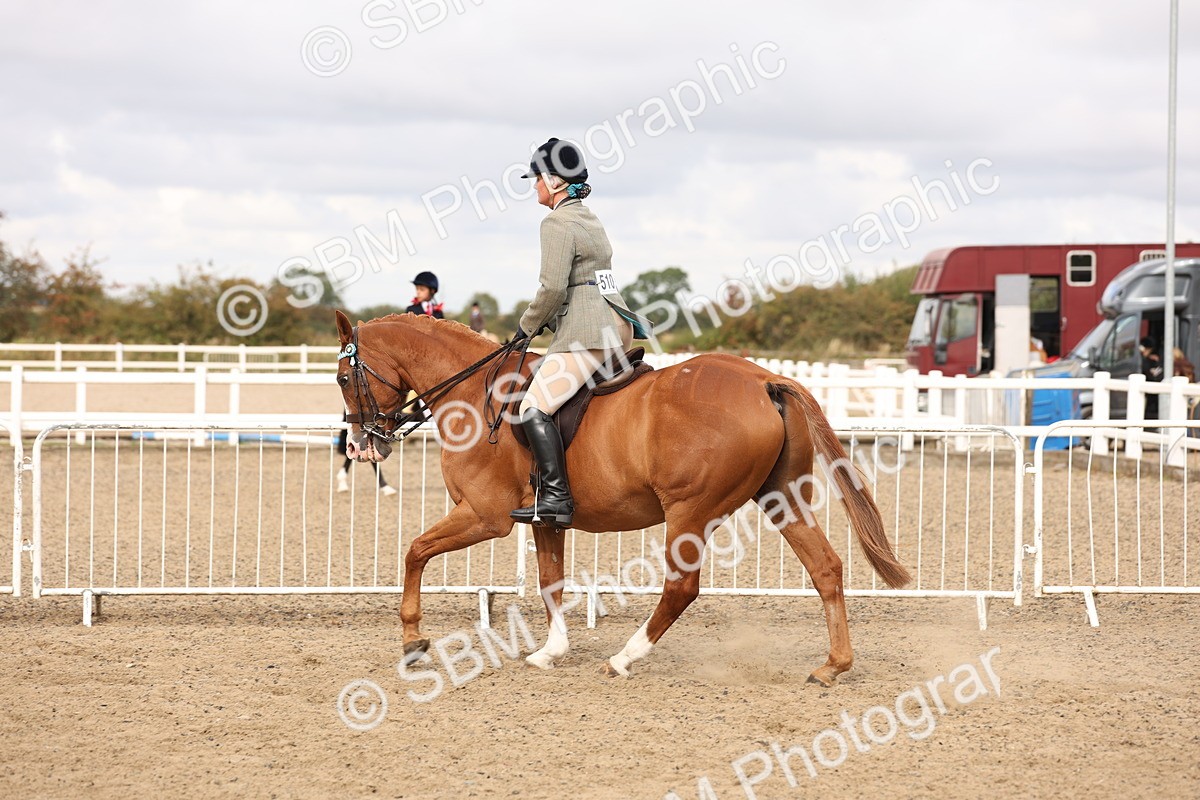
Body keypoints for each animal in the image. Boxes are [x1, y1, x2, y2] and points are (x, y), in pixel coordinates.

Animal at [334, 310, 911, 685]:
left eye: (342, 376)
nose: (361, 445)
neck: (475, 394)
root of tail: (764, 379)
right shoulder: (543, 519)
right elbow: (550, 582)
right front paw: (551, 652)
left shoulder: (484, 516)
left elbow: (415, 551)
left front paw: (412, 642)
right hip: (781, 499)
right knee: (826, 568)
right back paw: (833, 666)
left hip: (690, 512)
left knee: (681, 588)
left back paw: (624, 658)